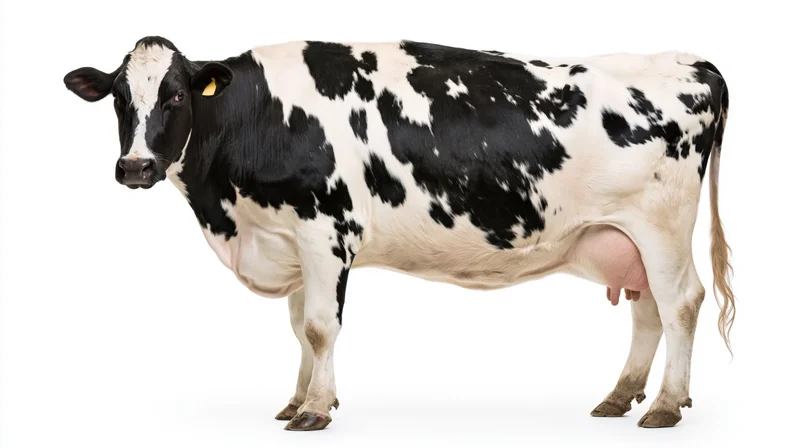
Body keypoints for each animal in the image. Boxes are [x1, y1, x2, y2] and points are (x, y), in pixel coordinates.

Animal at [63, 36, 734, 431]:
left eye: (176, 95)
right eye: (119, 97)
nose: (134, 167)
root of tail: (688, 61)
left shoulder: (325, 231)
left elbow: (319, 326)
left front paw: (315, 410)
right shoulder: (290, 241)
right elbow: (298, 329)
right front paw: (298, 400)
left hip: (661, 227)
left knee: (681, 303)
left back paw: (666, 405)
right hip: (625, 239)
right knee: (647, 312)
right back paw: (621, 396)